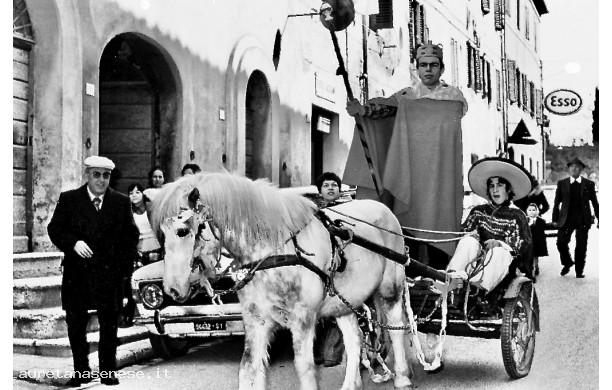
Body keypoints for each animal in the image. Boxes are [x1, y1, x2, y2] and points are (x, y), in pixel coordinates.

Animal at [150, 174, 414, 390]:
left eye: (183, 230)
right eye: (161, 234)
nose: (172, 288)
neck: (272, 252)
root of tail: (384, 209)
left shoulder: (303, 319)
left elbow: (304, 369)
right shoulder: (256, 320)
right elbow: (248, 368)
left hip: (390, 286)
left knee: (396, 327)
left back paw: (402, 378)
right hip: (344, 300)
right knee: (354, 338)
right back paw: (351, 384)